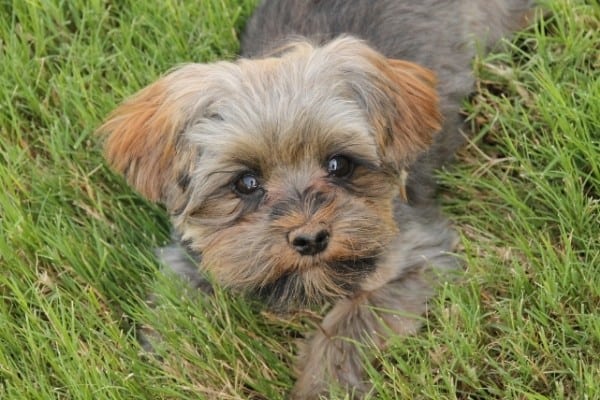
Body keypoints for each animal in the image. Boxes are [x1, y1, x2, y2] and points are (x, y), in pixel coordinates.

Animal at [99, 1, 536, 398]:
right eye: (246, 182)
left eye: (339, 164)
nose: (310, 238)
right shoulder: (186, 257)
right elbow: (178, 318)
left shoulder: (419, 255)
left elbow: (348, 327)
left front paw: (321, 384)